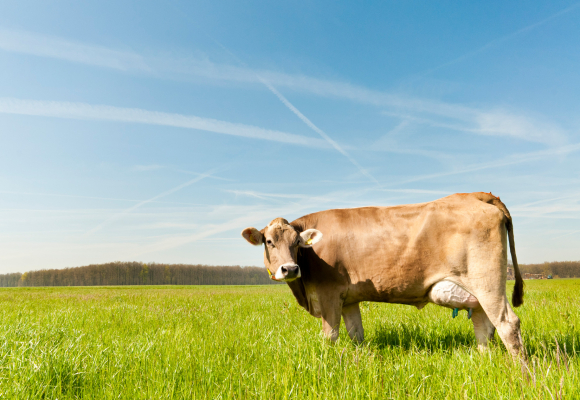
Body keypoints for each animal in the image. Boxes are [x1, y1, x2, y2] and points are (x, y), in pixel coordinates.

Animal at [240, 191, 524, 360]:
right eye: (268, 242)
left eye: (297, 242)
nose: (290, 269)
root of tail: (476, 195)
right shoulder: (349, 299)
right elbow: (356, 334)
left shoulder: (329, 293)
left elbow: (330, 336)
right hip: (476, 291)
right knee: (484, 326)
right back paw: (483, 361)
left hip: (487, 283)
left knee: (508, 325)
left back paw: (522, 376)